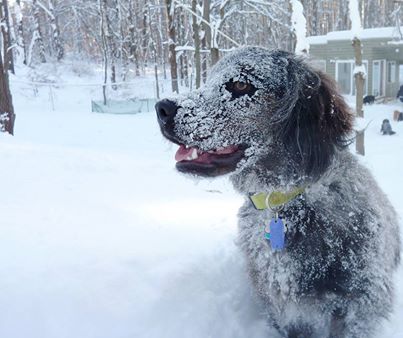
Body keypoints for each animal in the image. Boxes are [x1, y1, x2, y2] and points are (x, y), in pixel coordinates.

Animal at [155, 46, 400, 338]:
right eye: (208, 78)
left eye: (241, 84)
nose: (162, 108)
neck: (284, 201)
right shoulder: (284, 312)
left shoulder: (361, 304)